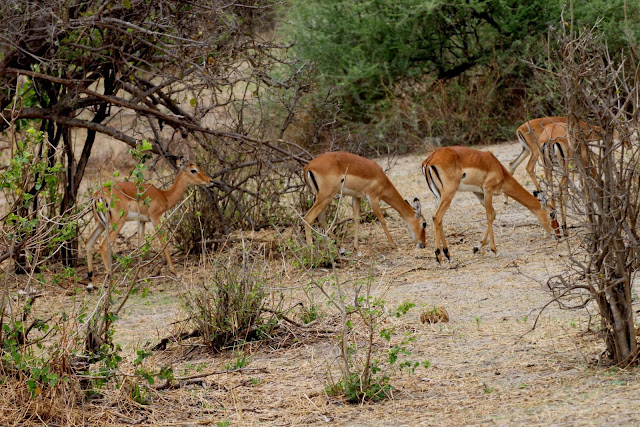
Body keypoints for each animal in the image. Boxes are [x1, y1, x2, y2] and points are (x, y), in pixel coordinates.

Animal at [82, 157, 215, 288]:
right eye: (193, 170)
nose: (211, 181)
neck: (164, 196)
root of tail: (98, 195)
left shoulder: (142, 221)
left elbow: (140, 246)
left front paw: (140, 276)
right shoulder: (155, 218)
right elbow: (164, 243)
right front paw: (176, 273)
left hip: (100, 224)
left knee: (89, 241)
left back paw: (90, 283)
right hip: (117, 223)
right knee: (103, 245)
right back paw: (110, 281)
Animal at [422, 146, 556, 264]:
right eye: (552, 214)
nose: (557, 234)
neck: (499, 170)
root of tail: (429, 159)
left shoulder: (479, 194)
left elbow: (493, 214)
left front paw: (477, 248)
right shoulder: (488, 190)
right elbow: (489, 215)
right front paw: (495, 250)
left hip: (439, 196)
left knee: (439, 219)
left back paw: (449, 256)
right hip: (449, 194)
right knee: (437, 217)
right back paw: (439, 257)